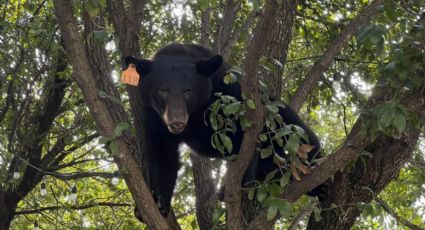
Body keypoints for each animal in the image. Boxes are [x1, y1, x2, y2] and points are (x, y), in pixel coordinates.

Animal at [126, 42, 322, 217]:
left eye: (188, 90)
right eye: (163, 90)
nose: (177, 123)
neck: (195, 112)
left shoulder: (230, 90)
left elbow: (247, 138)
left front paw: (240, 182)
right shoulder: (153, 116)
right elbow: (162, 155)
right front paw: (158, 201)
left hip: (285, 124)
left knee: (302, 138)